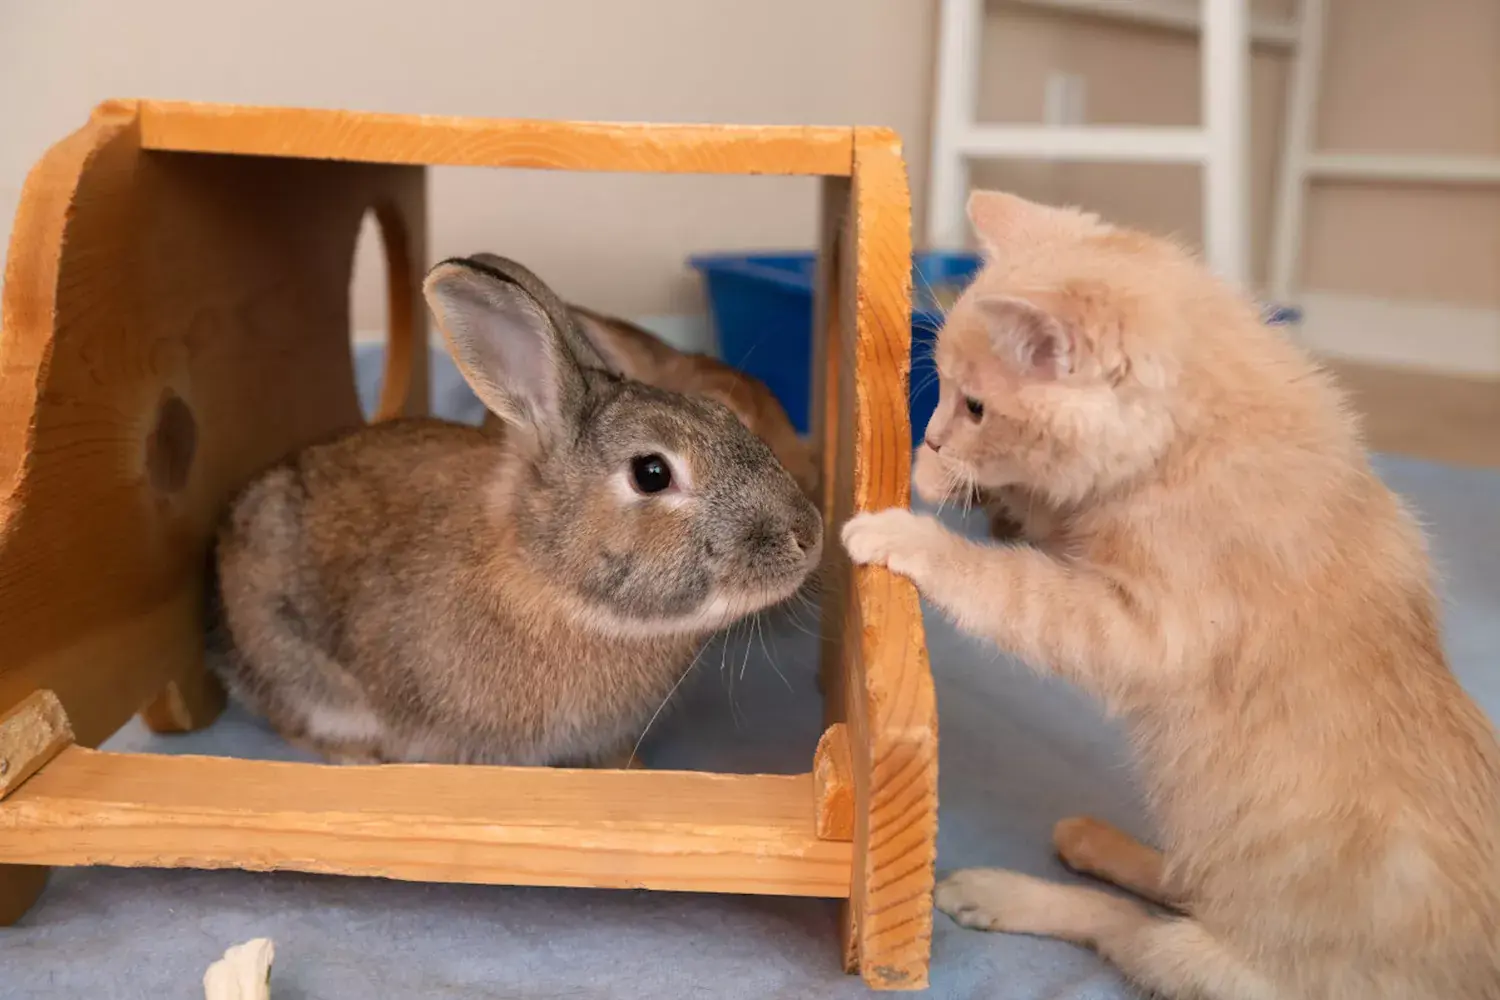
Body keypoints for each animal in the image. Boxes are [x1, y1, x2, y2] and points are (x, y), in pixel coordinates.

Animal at [846, 191, 1500, 995]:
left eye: (974, 405)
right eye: (941, 388)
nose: (934, 437)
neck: (1194, 442)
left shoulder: (1138, 628)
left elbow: (1011, 587)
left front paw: (911, 524)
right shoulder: (1080, 534)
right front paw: (941, 475)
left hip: (1220, 963)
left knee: (1133, 923)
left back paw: (1004, 890)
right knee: (1188, 879)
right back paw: (1098, 841)